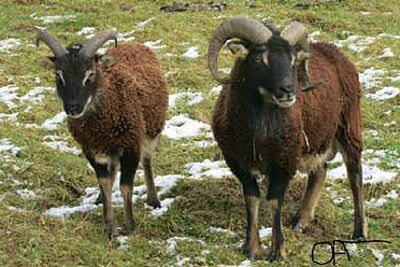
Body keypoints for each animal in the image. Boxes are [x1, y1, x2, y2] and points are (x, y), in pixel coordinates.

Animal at [36, 29, 169, 239]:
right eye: (59, 74)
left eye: (90, 74)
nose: (73, 107)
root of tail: (133, 45)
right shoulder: (91, 149)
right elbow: (104, 182)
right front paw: (110, 228)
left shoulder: (131, 146)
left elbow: (126, 186)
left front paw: (131, 227)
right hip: (110, 148)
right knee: (112, 169)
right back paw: (99, 198)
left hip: (152, 128)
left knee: (147, 159)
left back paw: (153, 198)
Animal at [208, 18, 368, 262]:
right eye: (259, 58)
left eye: (292, 60)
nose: (288, 90)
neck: (259, 134)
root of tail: (336, 52)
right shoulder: (237, 162)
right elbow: (252, 198)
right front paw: (251, 248)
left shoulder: (284, 162)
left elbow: (275, 201)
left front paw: (277, 251)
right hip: (316, 138)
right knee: (320, 172)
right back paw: (300, 220)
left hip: (348, 127)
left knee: (354, 176)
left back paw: (359, 232)